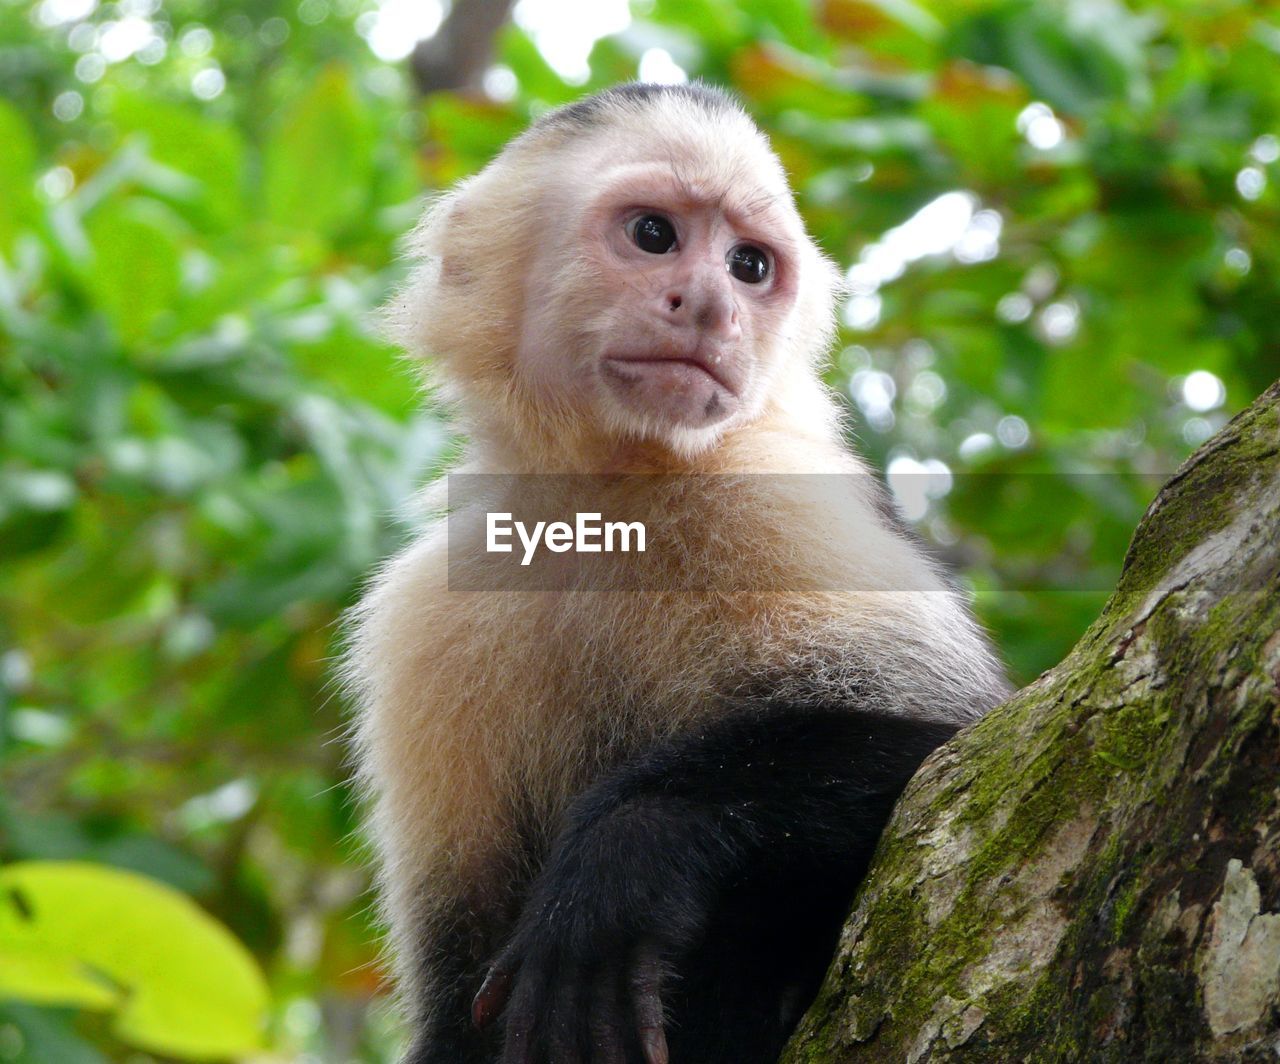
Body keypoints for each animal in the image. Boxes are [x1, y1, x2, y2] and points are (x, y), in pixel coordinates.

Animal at [350, 85, 1008, 1064]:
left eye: (748, 265)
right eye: (654, 235)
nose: (709, 306)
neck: (607, 498)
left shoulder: (775, 500)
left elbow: (952, 745)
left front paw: (626, 855)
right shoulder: (423, 617)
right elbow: (457, 986)